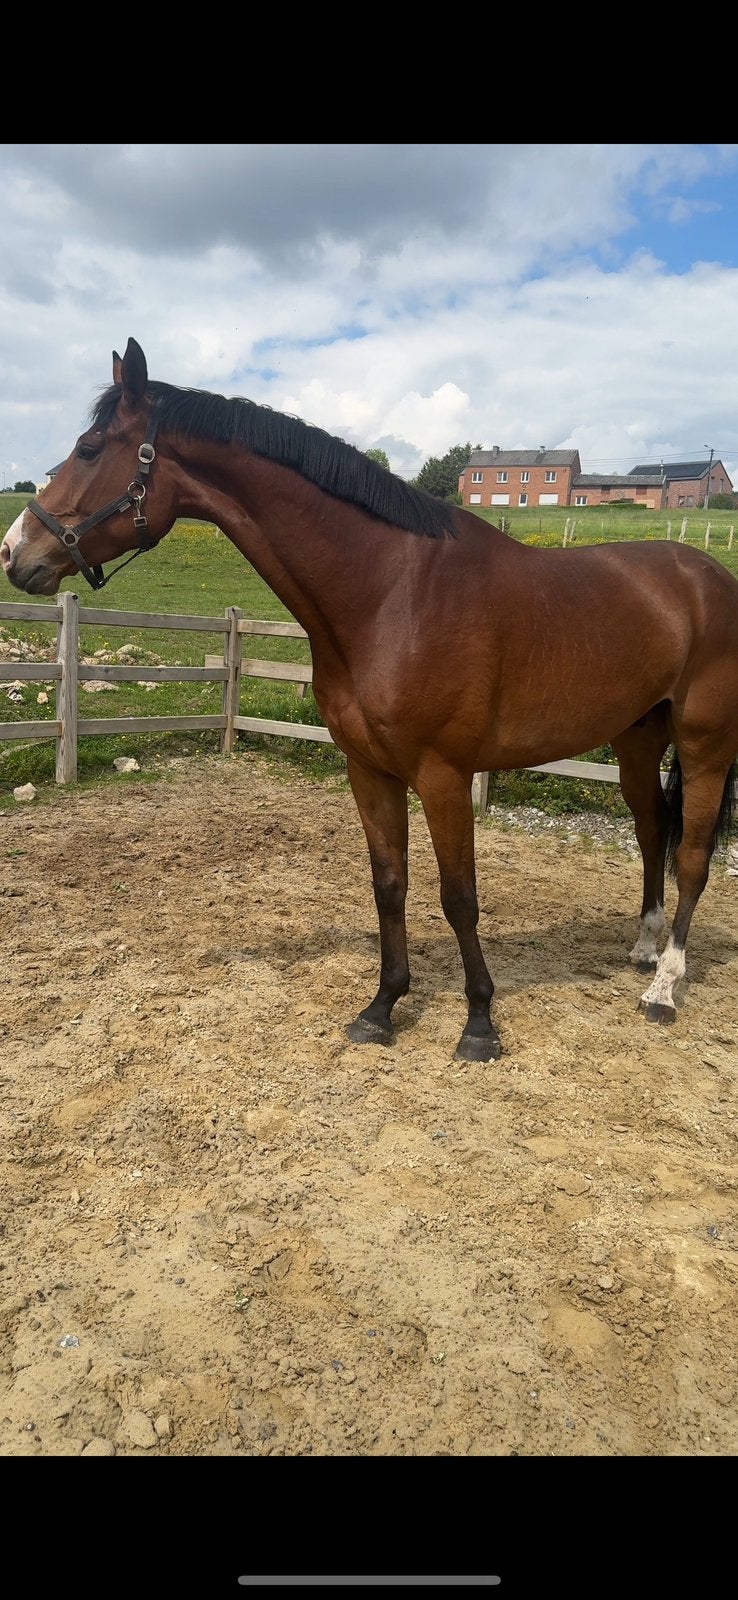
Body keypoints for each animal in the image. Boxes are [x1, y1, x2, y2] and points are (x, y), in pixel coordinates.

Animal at [2, 338, 737, 1062]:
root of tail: (711, 578)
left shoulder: (444, 776)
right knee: (651, 831)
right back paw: (644, 949)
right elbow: (389, 885)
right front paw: (382, 1007)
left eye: (90, 448)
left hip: (704, 746)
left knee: (692, 858)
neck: (391, 592)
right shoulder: (369, 769)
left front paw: (479, 1024)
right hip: (636, 737)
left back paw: (664, 987)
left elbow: (459, 897)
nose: (14, 553)